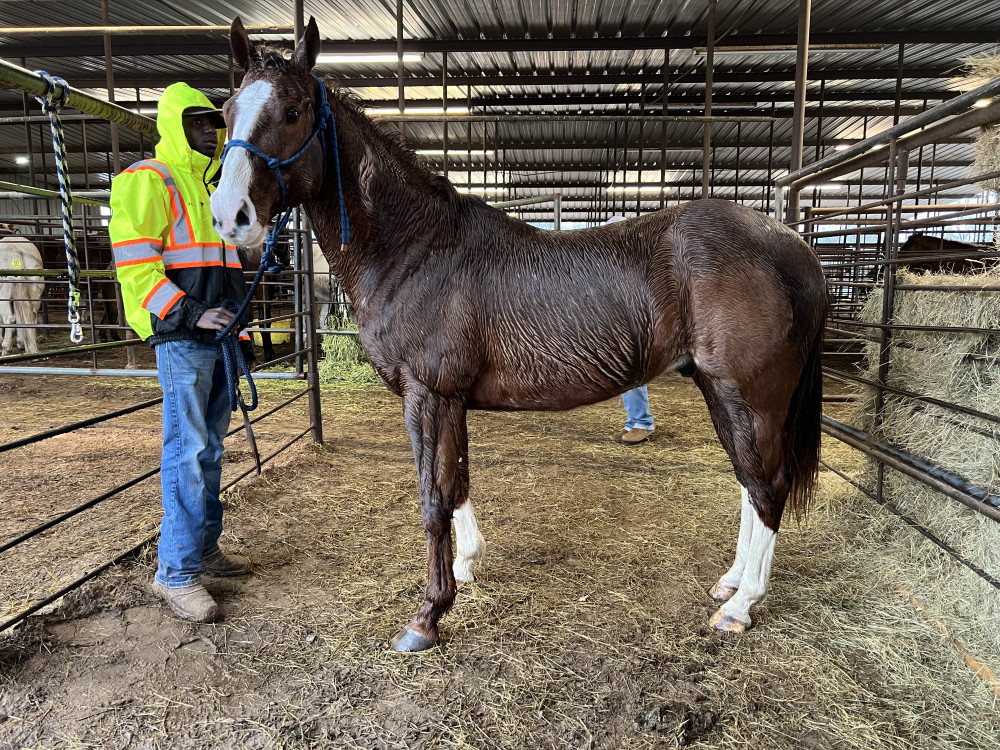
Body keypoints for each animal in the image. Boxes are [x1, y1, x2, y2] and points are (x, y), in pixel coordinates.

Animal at [211, 17, 829, 652]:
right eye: (227, 110)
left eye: (292, 111)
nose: (230, 216)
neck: (416, 248)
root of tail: (794, 247)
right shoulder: (451, 400)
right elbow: (456, 484)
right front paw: (465, 566)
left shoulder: (426, 396)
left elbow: (432, 499)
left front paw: (428, 615)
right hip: (718, 391)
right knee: (748, 483)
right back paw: (730, 582)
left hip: (750, 395)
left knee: (768, 486)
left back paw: (743, 604)